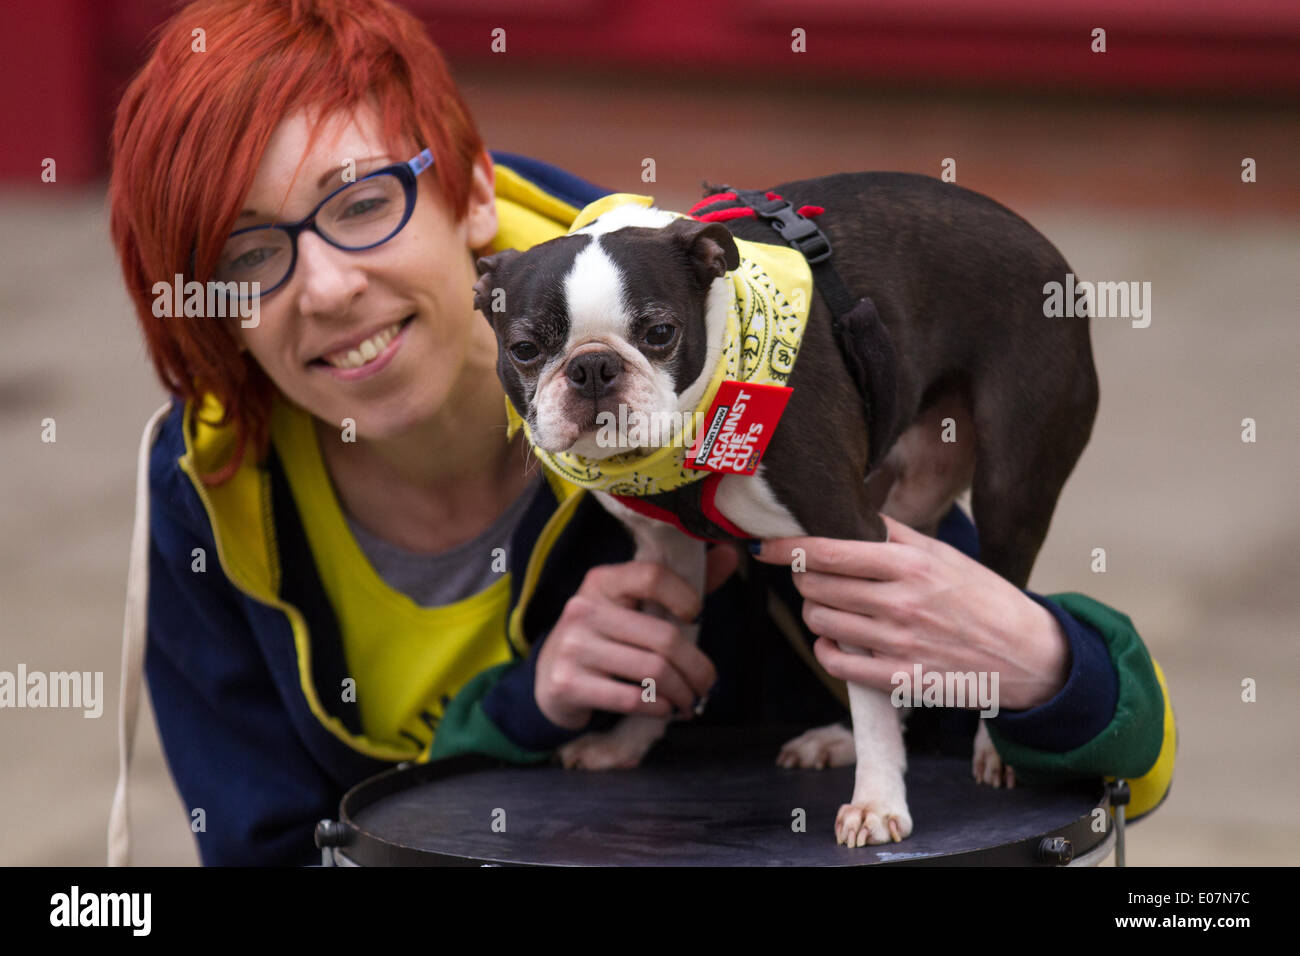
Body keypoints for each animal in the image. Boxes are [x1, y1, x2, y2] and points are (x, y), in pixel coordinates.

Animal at [473, 174, 1092, 842]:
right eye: (525, 348)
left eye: (660, 334)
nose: (592, 366)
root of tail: (1044, 244)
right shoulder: (668, 552)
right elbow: (663, 648)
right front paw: (627, 742)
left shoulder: (845, 533)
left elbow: (865, 679)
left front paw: (877, 801)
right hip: (904, 498)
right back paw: (842, 738)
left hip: (1009, 490)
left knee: (996, 586)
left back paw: (988, 749)